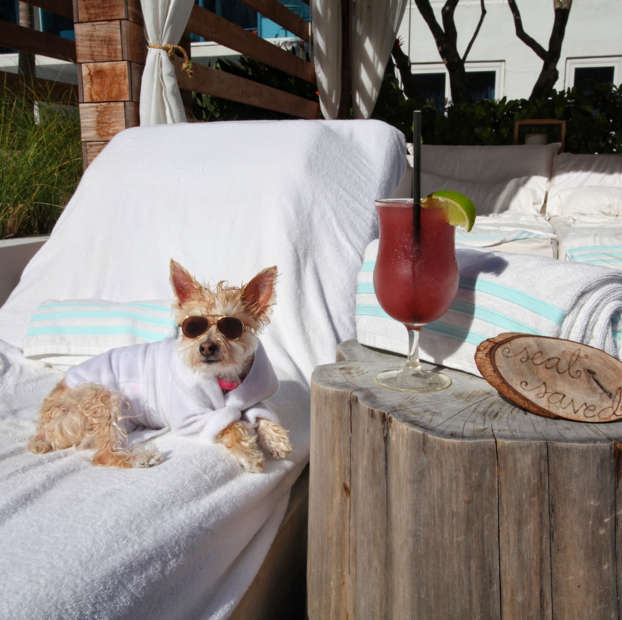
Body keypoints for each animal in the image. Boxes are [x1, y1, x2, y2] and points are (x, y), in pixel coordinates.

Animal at [26, 260, 292, 472]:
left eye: (231, 327)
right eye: (192, 327)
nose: (206, 347)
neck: (221, 376)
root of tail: (42, 427)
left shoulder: (247, 395)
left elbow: (260, 413)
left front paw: (276, 438)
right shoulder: (191, 417)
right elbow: (231, 422)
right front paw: (249, 453)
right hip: (99, 396)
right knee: (103, 455)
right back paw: (139, 458)